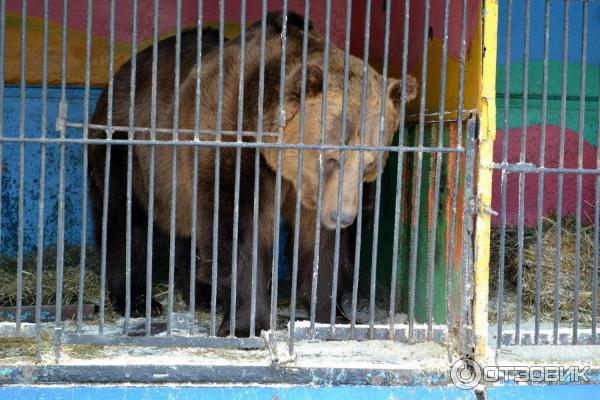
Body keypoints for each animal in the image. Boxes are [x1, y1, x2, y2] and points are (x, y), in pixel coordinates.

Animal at [89, 12, 418, 336]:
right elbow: (239, 231)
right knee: (124, 219)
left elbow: (322, 246)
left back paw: (202, 294)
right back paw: (137, 300)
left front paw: (333, 316)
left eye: (370, 163)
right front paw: (246, 323)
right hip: (126, 146)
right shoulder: (233, 138)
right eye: (330, 157)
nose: (342, 216)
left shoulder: (317, 194)